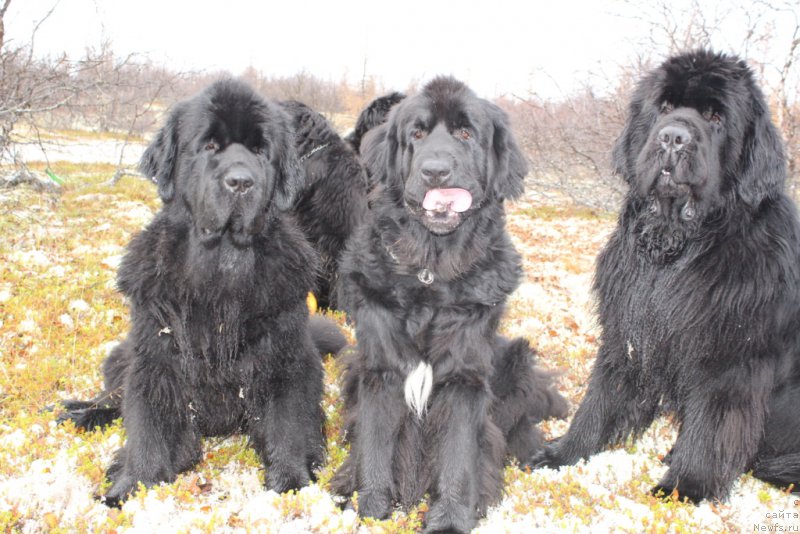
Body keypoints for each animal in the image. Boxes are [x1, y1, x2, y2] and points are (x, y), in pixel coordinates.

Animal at [56, 79, 344, 506]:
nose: (241, 181)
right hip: (122, 353)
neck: (221, 268)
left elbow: (287, 423)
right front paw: (130, 487)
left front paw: (292, 484)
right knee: (113, 394)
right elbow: (147, 425)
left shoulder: (284, 356)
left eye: (261, 151)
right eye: (209, 146)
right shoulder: (155, 354)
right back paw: (83, 411)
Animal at [332, 76, 568, 534]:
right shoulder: (379, 365)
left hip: (516, 359)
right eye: (416, 135)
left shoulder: (464, 373)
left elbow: (459, 452)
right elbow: (375, 438)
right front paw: (370, 506)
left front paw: (451, 519)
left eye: (465, 134)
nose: (436, 171)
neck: (431, 270)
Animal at [532, 49, 800, 502]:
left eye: (715, 116)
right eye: (665, 107)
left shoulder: (729, 351)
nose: (673, 137)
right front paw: (564, 452)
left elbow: (713, 423)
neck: (678, 249)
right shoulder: (629, 327)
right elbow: (601, 397)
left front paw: (686, 487)